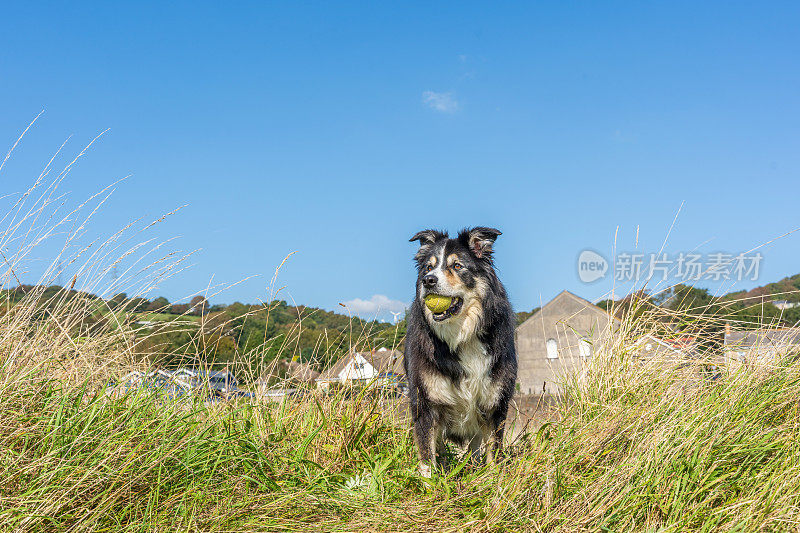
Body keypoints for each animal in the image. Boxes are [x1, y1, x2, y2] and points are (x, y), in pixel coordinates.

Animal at [404, 225, 516, 474]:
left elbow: (494, 451)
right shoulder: (425, 402)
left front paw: (492, 479)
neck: (462, 337)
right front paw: (429, 481)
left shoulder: (494, 403)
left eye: (457, 266)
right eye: (429, 267)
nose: (428, 280)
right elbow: (427, 453)